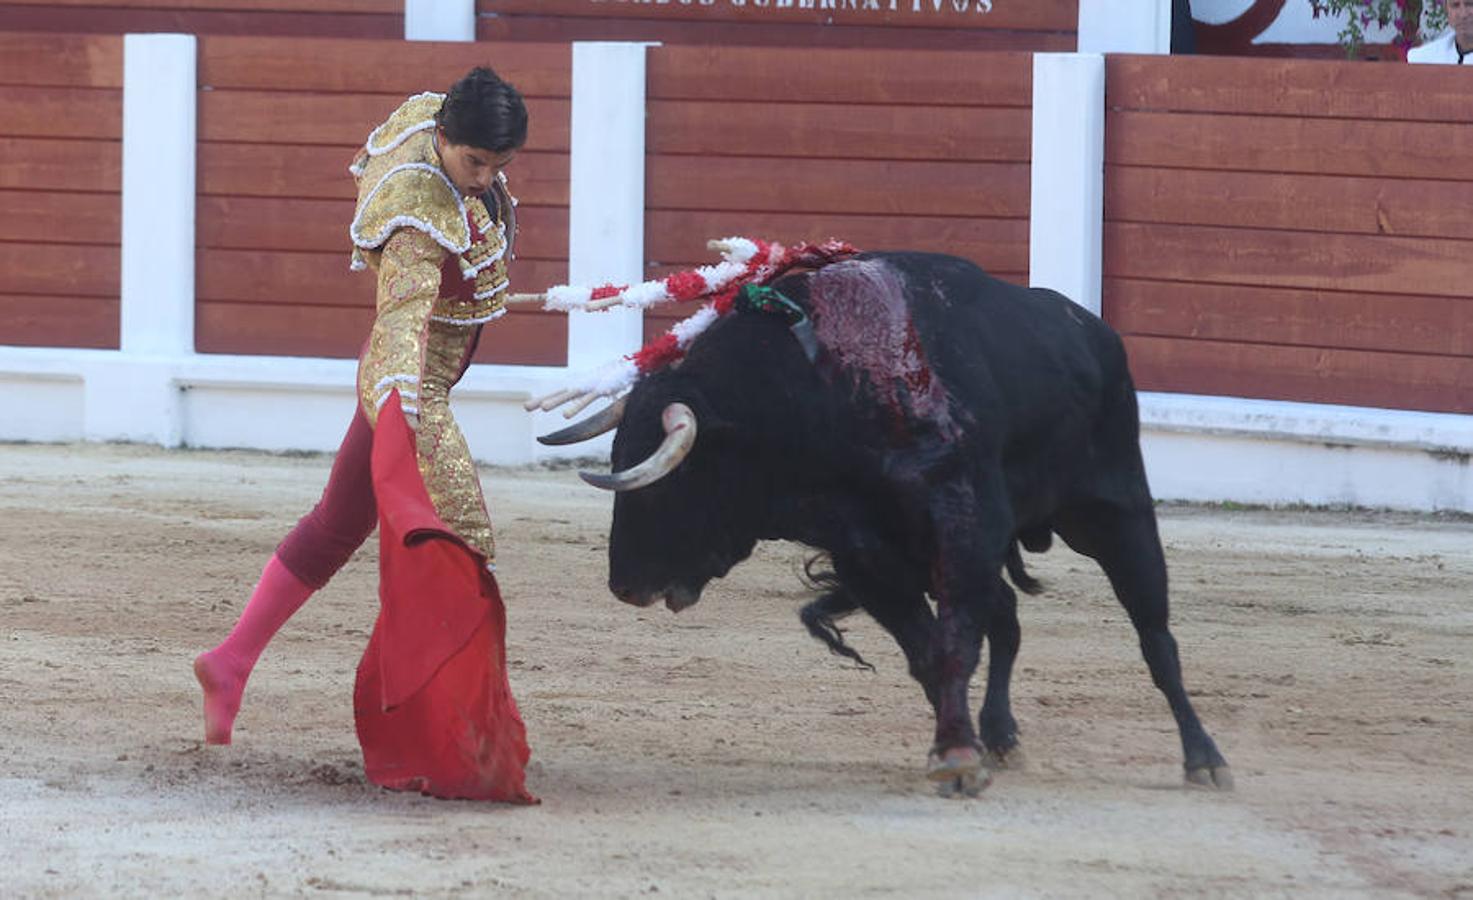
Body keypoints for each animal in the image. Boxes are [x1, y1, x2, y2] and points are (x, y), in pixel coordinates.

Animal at [562, 253, 1231, 795]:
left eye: (673, 481)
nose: (625, 585)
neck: (826, 390)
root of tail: (1094, 332)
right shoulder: (866, 557)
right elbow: (929, 652)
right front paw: (960, 748)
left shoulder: (964, 528)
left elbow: (957, 642)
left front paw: (957, 755)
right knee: (1009, 617)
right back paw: (1000, 735)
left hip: (1117, 513)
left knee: (1155, 636)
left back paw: (1204, 757)